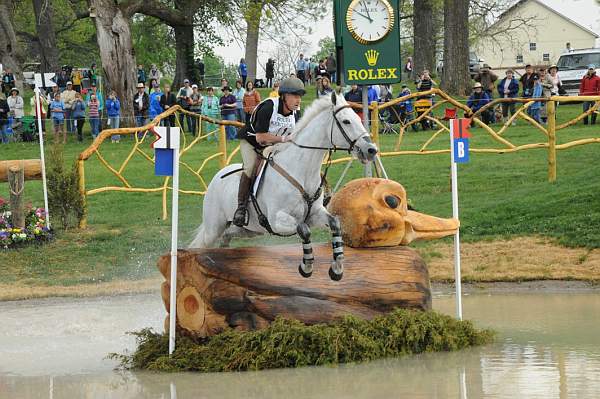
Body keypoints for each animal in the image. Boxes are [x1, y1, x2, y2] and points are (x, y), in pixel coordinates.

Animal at [190, 93, 378, 282]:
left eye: (358, 119)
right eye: (346, 121)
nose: (371, 150)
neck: (302, 170)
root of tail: (216, 177)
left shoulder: (316, 214)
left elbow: (334, 223)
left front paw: (337, 268)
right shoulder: (277, 220)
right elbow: (304, 230)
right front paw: (306, 267)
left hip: (247, 230)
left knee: (226, 237)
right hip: (214, 227)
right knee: (202, 244)